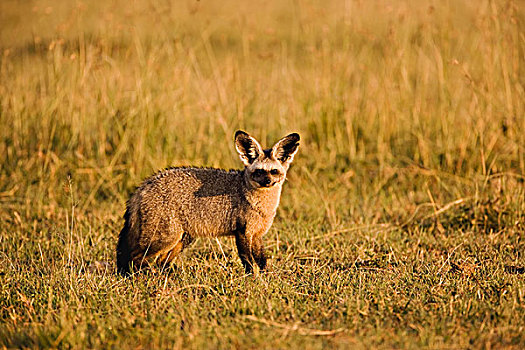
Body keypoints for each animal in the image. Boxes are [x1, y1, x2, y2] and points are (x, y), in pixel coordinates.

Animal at [116, 130, 300, 274]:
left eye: (274, 171)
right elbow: (248, 261)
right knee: (135, 258)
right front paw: (252, 280)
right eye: (259, 172)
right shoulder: (242, 232)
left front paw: (265, 278)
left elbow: (262, 260)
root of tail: (145, 183)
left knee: (161, 262)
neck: (262, 206)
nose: (267, 182)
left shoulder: (257, 235)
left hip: (181, 239)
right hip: (164, 239)